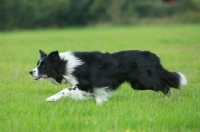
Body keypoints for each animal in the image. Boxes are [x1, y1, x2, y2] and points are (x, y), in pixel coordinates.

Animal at [29, 49, 188, 104]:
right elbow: (98, 97)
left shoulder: (85, 84)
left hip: (146, 80)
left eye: (43, 66)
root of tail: (152, 56)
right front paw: (100, 106)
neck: (64, 64)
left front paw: (51, 99)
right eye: (37, 64)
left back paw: (171, 99)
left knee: (165, 85)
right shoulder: (94, 88)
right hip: (138, 84)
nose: (31, 72)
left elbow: (64, 91)